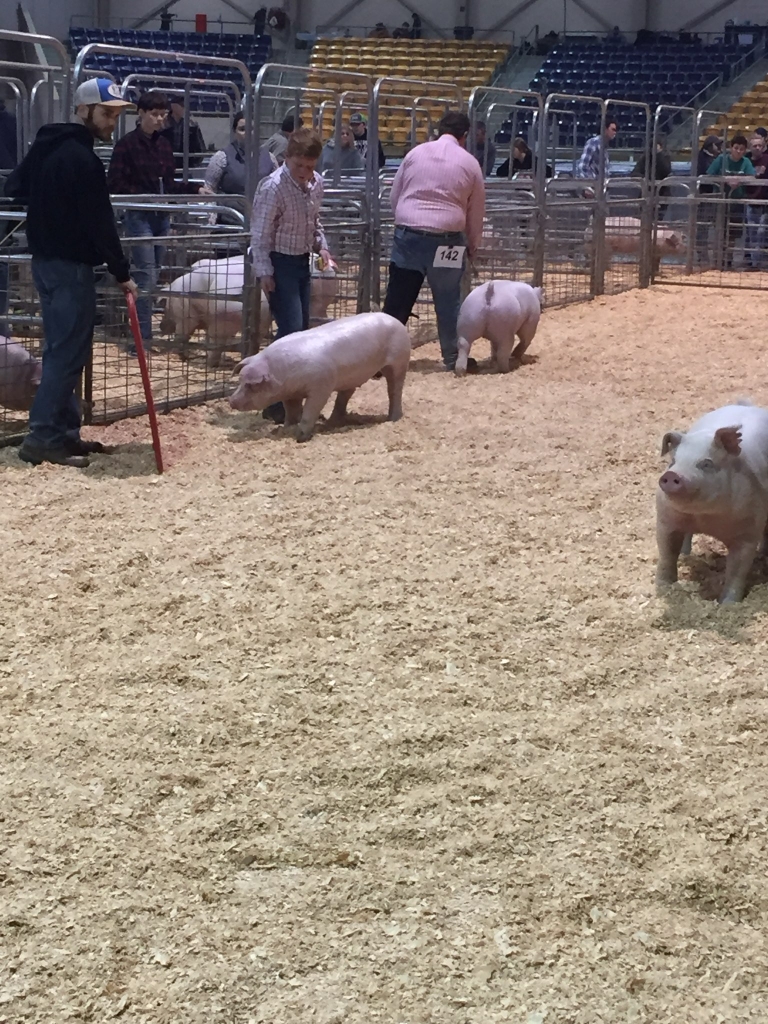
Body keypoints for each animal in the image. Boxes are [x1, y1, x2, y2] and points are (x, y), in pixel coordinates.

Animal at [231, 309, 411, 442]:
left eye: (251, 385)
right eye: (240, 380)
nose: (231, 400)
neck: (281, 372)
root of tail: (395, 320)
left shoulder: (321, 386)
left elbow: (311, 409)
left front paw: (300, 437)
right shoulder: (290, 393)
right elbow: (291, 410)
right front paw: (284, 429)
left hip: (399, 361)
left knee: (394, 389)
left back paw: (392, 419)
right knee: (345, 395)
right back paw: (332, 422)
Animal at [659, 399, 768, 602]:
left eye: (706, 464)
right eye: (673, 461)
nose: (672, 475)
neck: (704, 517)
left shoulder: (748, 533)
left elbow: (737, 570)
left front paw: (728, 603)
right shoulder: (665, 521)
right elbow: (666, 554)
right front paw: (663, 588)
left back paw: (762, 555)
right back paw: (686, 555)